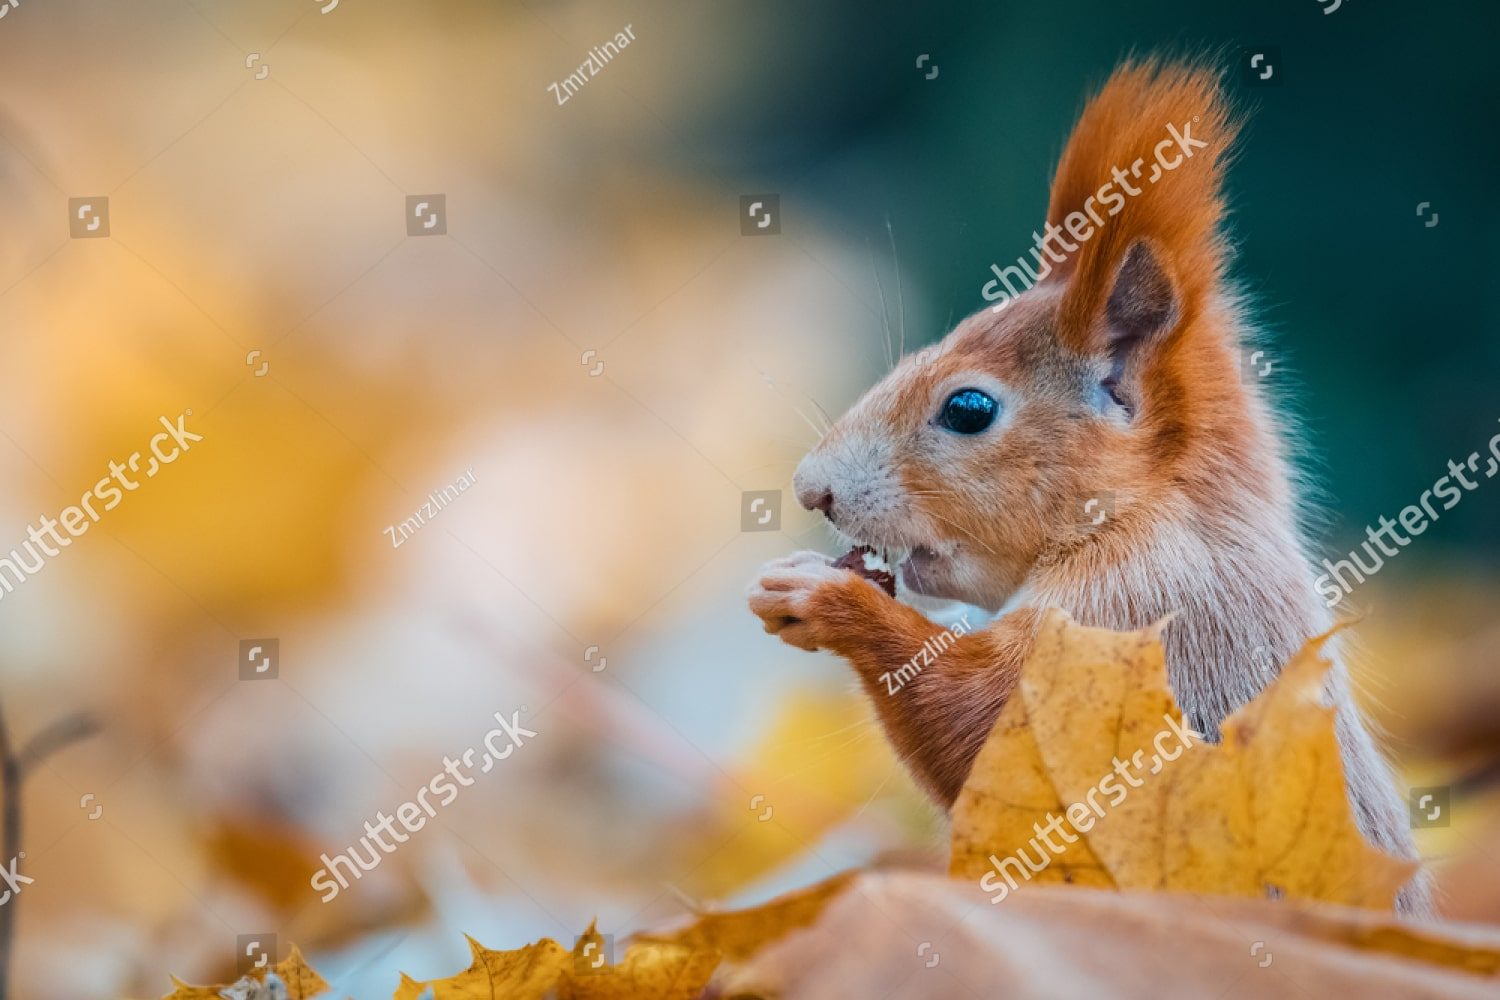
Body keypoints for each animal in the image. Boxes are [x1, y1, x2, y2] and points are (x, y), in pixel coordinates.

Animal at [748, 60, 1429, 912]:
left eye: (968, 410)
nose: (813, 490)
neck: (1142, 514)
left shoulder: (1141, 619)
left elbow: (981, 728)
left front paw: (825, 598)